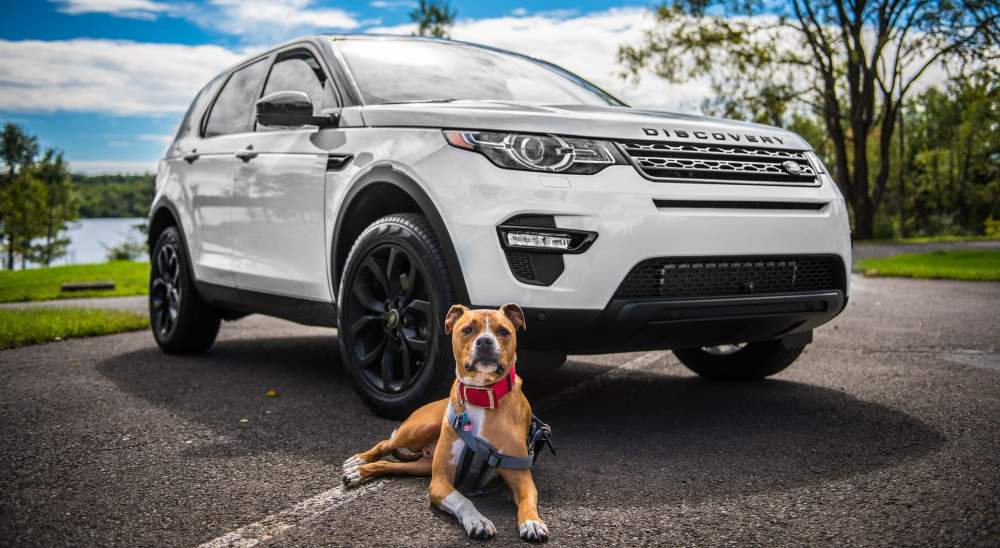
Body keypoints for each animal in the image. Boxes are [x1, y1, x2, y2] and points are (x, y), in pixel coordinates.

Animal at [342, 306, 548, 540]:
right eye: (467, 329)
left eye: (503, 331)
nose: (485, 341)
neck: (481, 395)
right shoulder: (440, 482)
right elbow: (463, 500)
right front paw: (477, 520)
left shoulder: (521, 477)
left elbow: (528, 501)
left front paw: (532, 522)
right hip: (417, 431)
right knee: (385, 443)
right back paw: (358, 462)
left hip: (422, 466)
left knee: (389, 465)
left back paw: (360, 472)